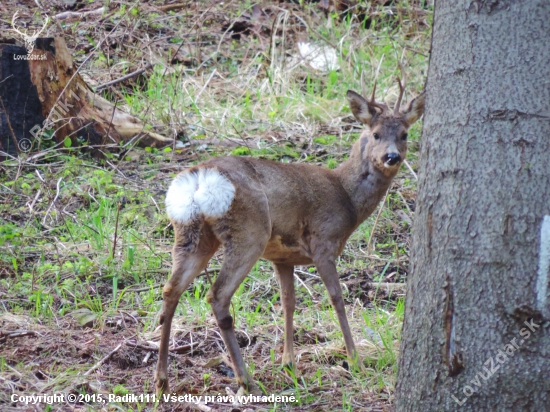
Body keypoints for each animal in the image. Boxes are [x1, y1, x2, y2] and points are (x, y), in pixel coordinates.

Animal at [155, 78, 426, 392]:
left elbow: (288, 302)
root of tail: (199, 179)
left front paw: (288, 363)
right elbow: (336, 298)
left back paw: (162, 380)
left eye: (404, 134)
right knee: (218, 296)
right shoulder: (323, 241)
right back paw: (245, 379)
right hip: (249, 232)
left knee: (171, 290)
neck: (346, 197)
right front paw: (354, 360)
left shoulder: (283, 258)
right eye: (376, 133)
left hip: (190, 232)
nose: (391, 157)